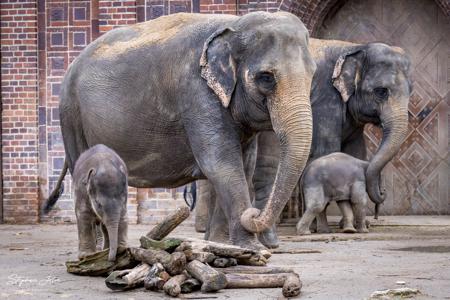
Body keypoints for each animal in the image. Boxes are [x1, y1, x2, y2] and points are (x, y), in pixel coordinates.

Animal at [42, 11, 316, 250]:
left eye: (313, 74)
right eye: (266, 77)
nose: (253, 213)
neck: (234, 24)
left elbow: (243, 165)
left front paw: (221, 245)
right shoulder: (196, 92)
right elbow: (221, 164)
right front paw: (254, 250)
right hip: (70, 115)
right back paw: (98, 249)